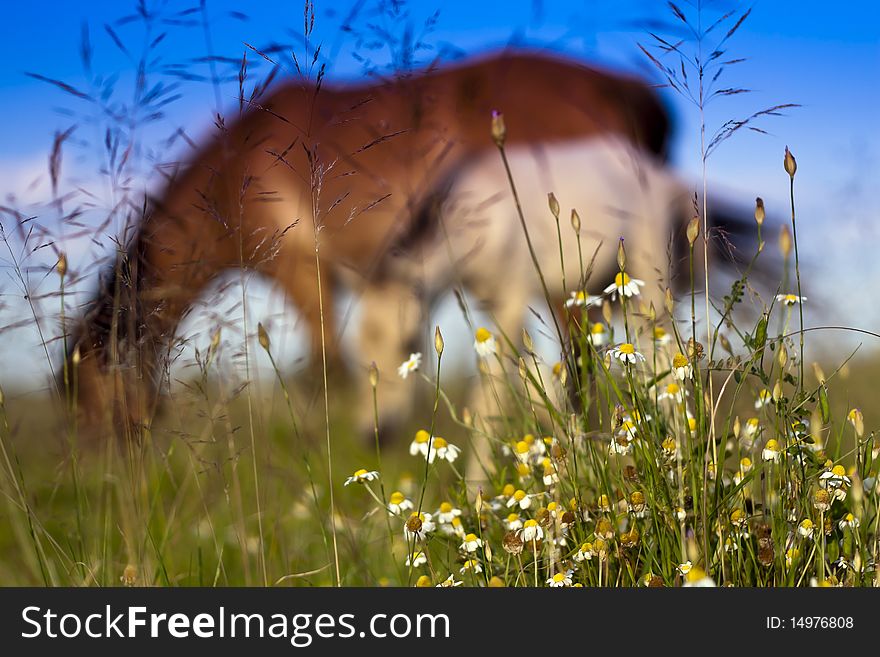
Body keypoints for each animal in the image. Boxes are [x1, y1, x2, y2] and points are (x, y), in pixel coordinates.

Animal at [69, 51, 672, 430]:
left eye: (91, 390)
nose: (108, 455)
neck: (234, 172)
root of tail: (630, 89)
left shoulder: (299, 269)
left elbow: (325, 367)